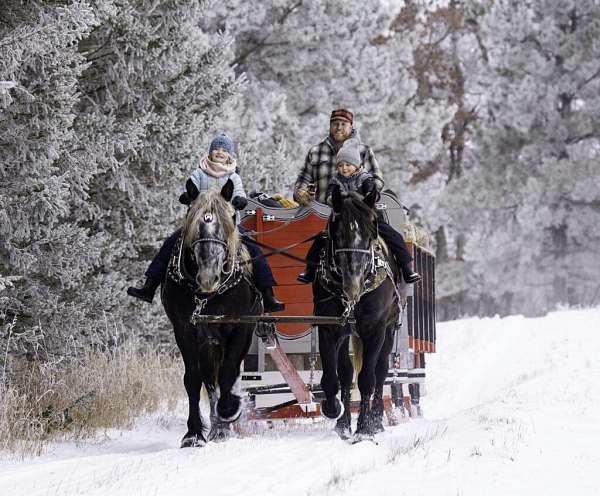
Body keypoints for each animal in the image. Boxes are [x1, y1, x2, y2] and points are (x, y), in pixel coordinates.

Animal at [161, 180, 262, 448]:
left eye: (231, 219)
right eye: (192, 220)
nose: (208, 277)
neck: (206, 295)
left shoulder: (240, 328)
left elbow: (229, 373)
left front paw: (230, 410)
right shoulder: (184, 329)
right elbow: (193, 379)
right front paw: (194, 434)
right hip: (209, 342)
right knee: (209, 380)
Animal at [312, 186, 400, 442]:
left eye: (372, 230)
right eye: (338, 233)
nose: (354, 284)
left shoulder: (375, 330)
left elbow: (367, 379)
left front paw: (364, 428)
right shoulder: (329, 328)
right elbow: (334, 378)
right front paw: (335, 412)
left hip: (389, 329)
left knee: (380, 371)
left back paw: (376, 419)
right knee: (346, 373)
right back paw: (343, 423)